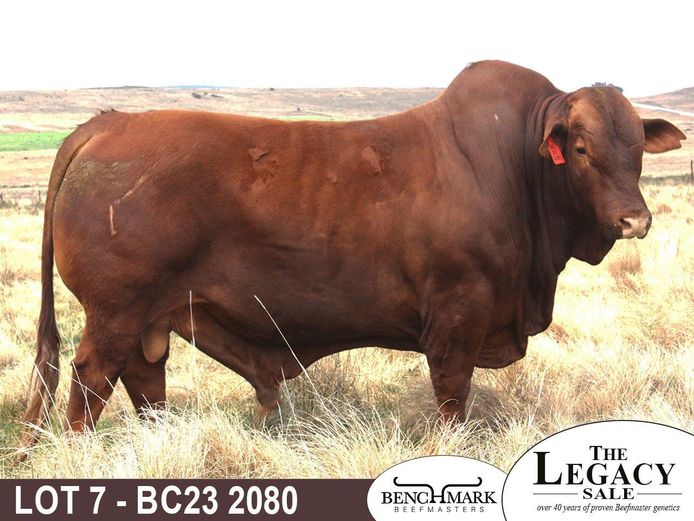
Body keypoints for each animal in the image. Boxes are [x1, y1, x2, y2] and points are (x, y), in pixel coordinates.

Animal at [21, 61, 685, 450]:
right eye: (580, 147)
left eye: (637, 147)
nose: (635, 219)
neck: (513, 168)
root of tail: (108, 123)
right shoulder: (458, 311)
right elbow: (452, 395)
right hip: (114, 312)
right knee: (90, 383)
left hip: (151, 315)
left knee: (143, 380)